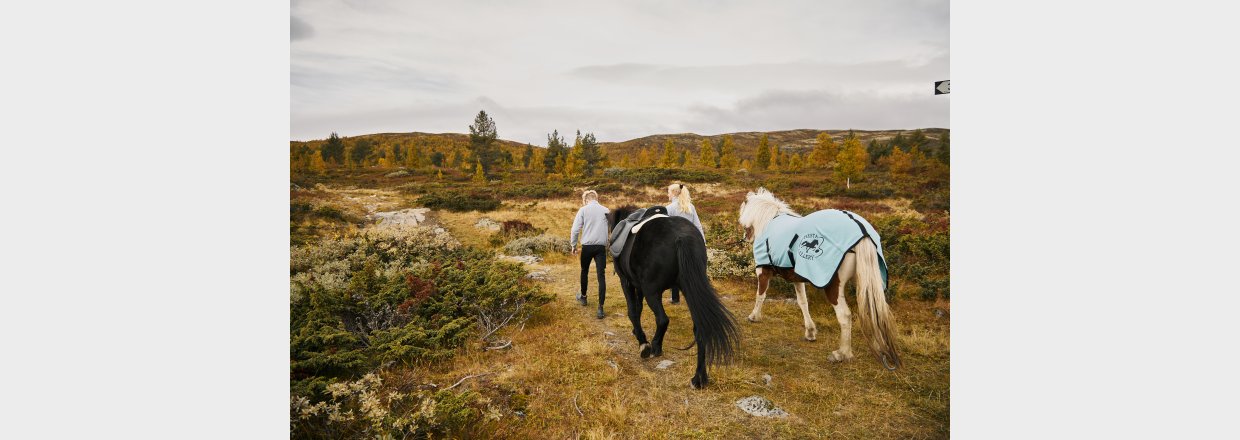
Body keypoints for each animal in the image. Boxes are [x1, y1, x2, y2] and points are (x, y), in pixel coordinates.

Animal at [607, 205, 740, 388]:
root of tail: (682, 236)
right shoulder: (639, 286)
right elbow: (638, 309)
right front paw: (636, 331)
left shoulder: (627, 282)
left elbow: (633, 311)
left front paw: (643, 343)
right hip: (689, 289)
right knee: (700, 328)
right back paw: (698, 378)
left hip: (652, 292)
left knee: (663, 319)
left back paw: (655, 347)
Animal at [737, 188, 902, 370]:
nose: (746, 237)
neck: (768, 223)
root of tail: (862, 232)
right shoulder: (797, 278)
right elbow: (803, 303)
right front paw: (810, 332)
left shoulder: (763, 272)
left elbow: (760, 295)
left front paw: (754, 316)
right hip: (867, 283)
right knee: (875, 313)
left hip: (834, 287)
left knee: (845, 316)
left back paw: (842, 353)